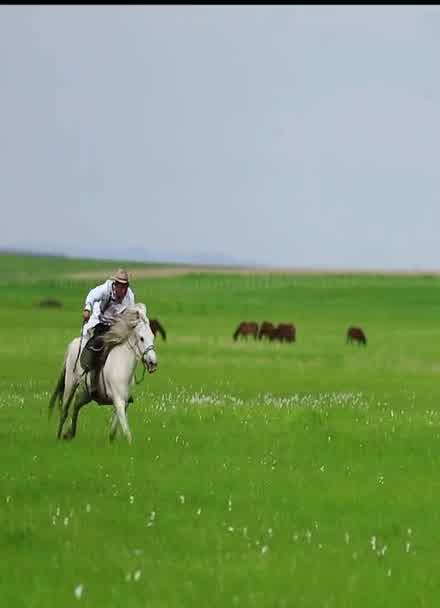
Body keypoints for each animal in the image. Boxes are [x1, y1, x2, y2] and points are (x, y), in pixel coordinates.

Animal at [48, 302, 157, 442]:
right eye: (142, 338)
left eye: (153, 337)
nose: (153, 363)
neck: (123, 365)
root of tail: (73, 343)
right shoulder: (119, 400)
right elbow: (126, 431)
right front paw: (129, 444)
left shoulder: (124, 402)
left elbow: (115, 427)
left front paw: (111, 440)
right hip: (70, 385)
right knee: (64, 410)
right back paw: (59, 436)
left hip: (87, 393)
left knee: (76, 404)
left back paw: (69, 433)